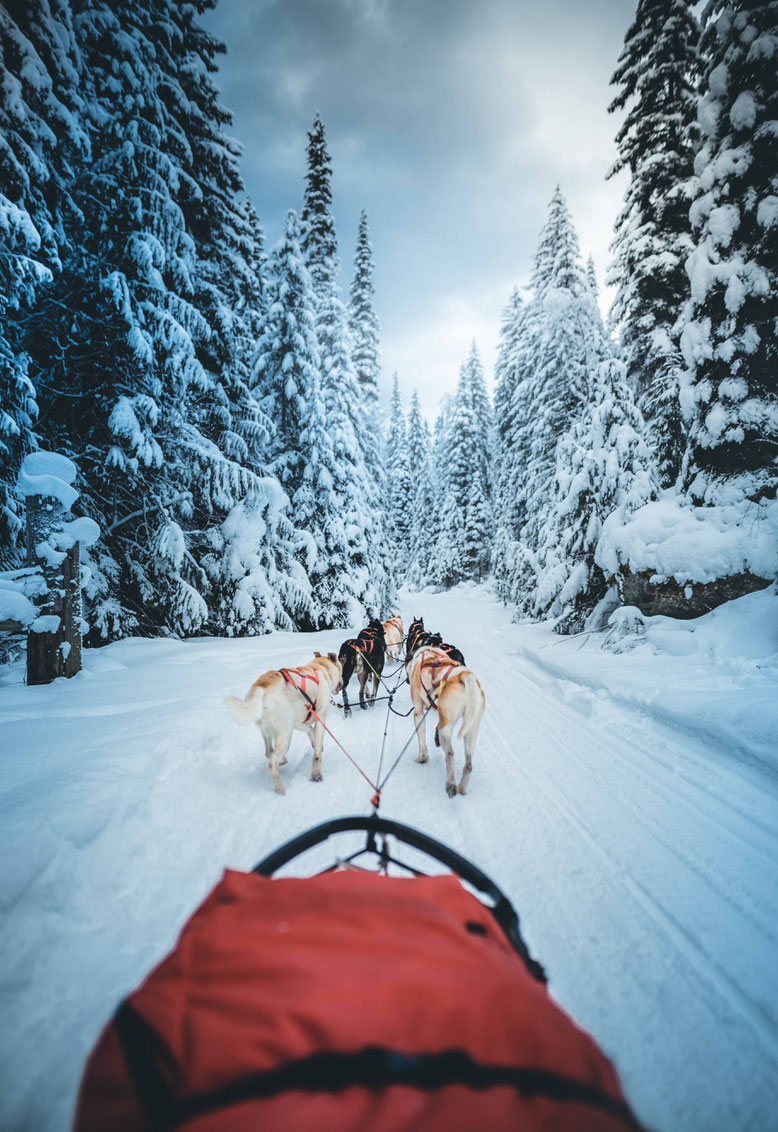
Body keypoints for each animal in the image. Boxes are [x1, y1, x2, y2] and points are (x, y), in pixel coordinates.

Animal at [224, 656, 342, 796]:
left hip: (270, 730)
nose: (342, 683)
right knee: (272, 763)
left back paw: (282, 760)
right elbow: (317, 752)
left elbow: (310, 730)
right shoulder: (320, 717)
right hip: (285, 735)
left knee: (269, 752)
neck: (318, 670)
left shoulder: (296, 722)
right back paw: (280, 788)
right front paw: (316, 774)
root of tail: (261, 686)